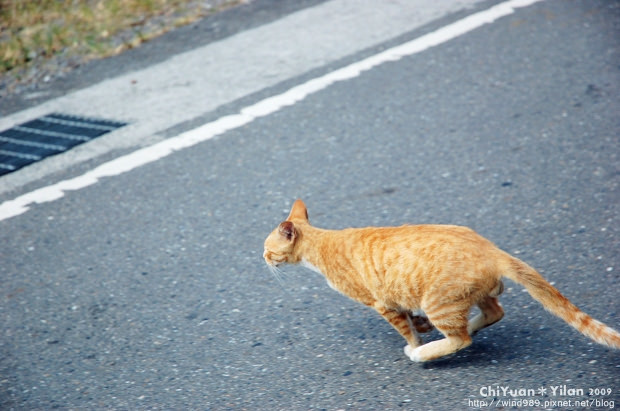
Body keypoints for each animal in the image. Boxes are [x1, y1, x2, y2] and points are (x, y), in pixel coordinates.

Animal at [262, 200, 620, 364]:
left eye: (267, 249)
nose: (262, 259)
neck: (321, 246)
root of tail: (491, 248)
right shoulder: (396, 299)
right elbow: (411, 318)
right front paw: (420, 327)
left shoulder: (381, 304)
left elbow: (404, 329)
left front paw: (415, 343)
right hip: (468, 295)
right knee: (493, 312)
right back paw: (466, 325)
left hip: (439, 301)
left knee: (461, 339)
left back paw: (425, 353)